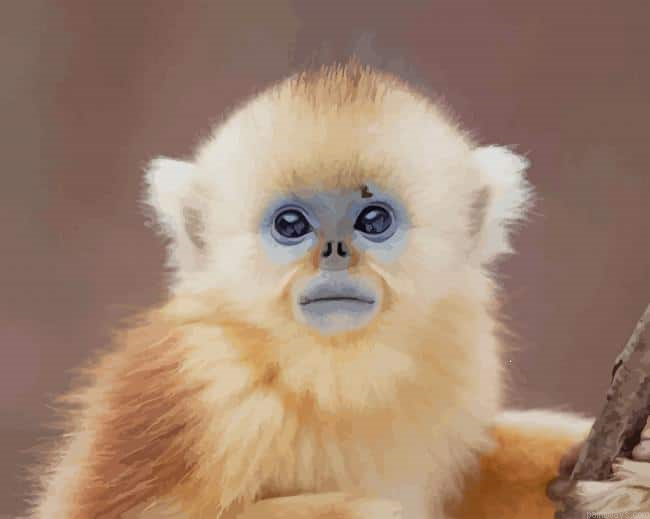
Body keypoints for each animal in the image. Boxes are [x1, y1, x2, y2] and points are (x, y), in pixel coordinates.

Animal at [27, 62, 650, 519]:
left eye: (374, 220)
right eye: (291, 225)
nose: (334, 253)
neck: (331, 363)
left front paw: (634, 483)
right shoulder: (196, 388)